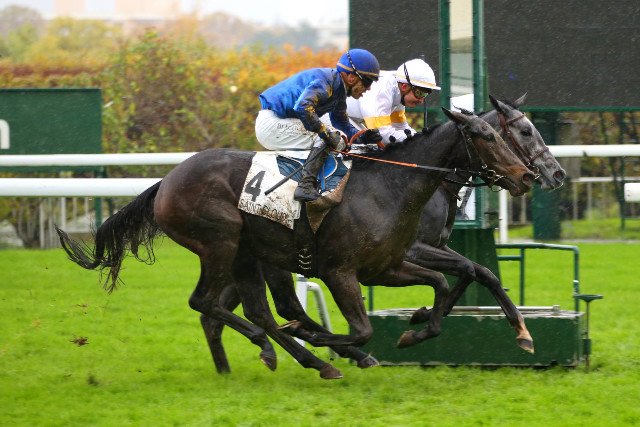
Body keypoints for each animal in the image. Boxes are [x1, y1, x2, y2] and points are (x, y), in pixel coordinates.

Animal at [56, 108, 535, 379]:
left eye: (508, 135)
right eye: (488, 137)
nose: (528, 176)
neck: (390, 186)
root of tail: (166, 181)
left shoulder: (388, 266)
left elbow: (441, 283)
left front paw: (414, 331)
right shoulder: (341, 271)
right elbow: (363, 327)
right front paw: (334, 340)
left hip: (247, 255)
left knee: (260, 311)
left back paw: (297, 355)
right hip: (220, 244)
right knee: (210, 303)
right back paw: (297, 350)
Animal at [197, 94, 566, 374]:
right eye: (524, 131)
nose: (554, 174)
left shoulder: (419, 251)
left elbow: (474, 272)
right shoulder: (415, 249)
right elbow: (470, 270)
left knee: (226, 312)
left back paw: (232, 365)